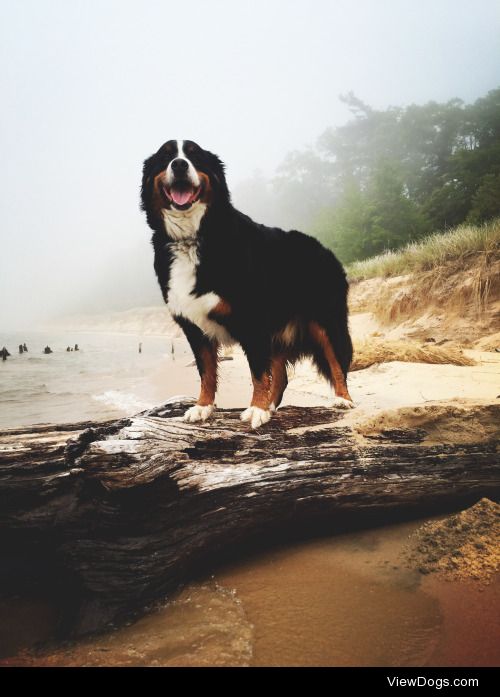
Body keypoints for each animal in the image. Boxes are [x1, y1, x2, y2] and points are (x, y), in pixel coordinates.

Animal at [139, 139, 354, 426]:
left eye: (194, 156)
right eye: (166, 157)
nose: (180, 165)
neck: (193, 237)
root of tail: (324, 248)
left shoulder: (252, 319)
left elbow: (257, 372)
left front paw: (256, 409)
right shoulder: (194, 326)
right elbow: (206, 372)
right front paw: (203, 406)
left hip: (326, 321)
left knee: (337, 362)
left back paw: (343, 399)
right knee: (282, 375)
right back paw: (272, 406)